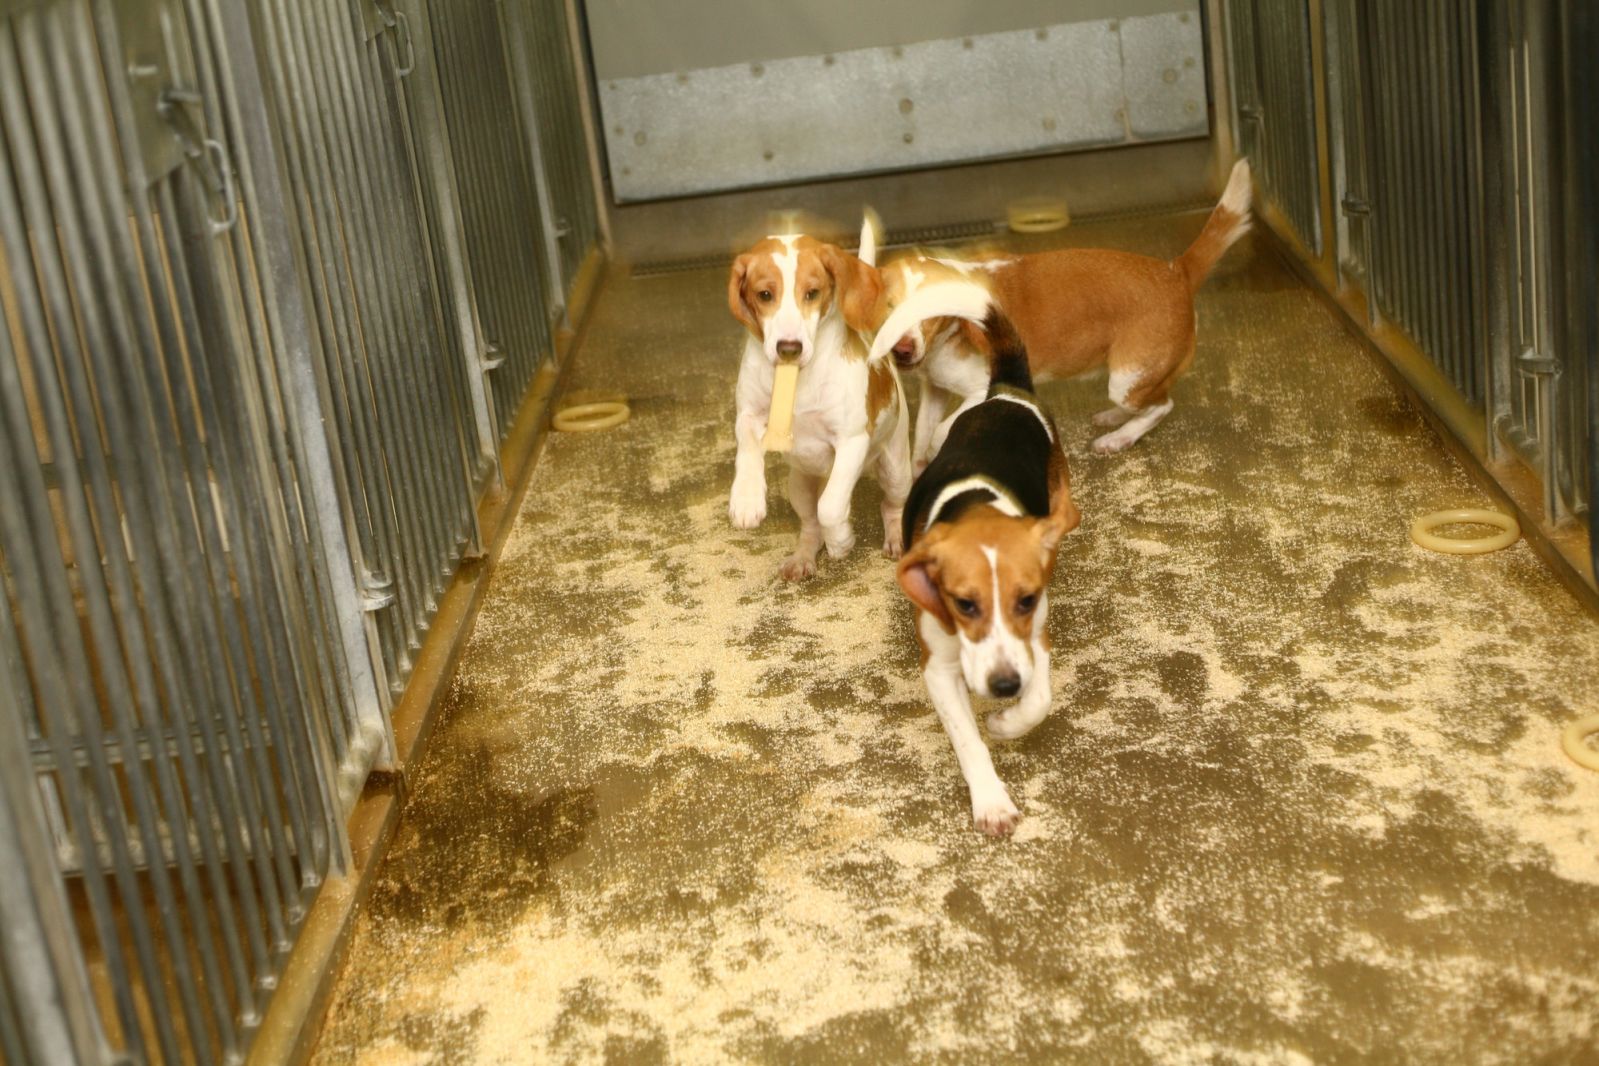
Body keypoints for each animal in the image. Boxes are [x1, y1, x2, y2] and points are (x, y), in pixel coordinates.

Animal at [729, 220, 914, 578]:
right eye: (765, 295)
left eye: (812, 293)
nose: (789, 348)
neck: (799, 379)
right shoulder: (748, 416)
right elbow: (747, 450)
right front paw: (746, 499)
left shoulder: (851, 442)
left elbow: (831, 506)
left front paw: (841, 541)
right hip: (799, 485)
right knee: (810, 524)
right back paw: (803, 556)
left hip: (895, 470)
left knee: (890, 505)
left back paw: (895, 537)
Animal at [876, 279, 1087, 837]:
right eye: (963, 604)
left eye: (1026, 599)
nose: (1004, 684)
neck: (976, 505)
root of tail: (1004, 393)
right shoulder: (938, 669)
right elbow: (968, 741)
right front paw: (991, 800)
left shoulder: (1036, 637)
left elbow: (1040, 701)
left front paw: (1007, 722)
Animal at [882, 158, 1253, 466]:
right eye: (888, 306)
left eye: (930, 309)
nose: (902, 350)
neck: (948, 338)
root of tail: (1176, 271)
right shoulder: (934, 392)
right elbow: (922, 438)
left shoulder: (981, 390)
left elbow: (938, 436)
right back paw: (1115, 418)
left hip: (1126, 378)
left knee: (1162, 406)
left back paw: (1118, 438)